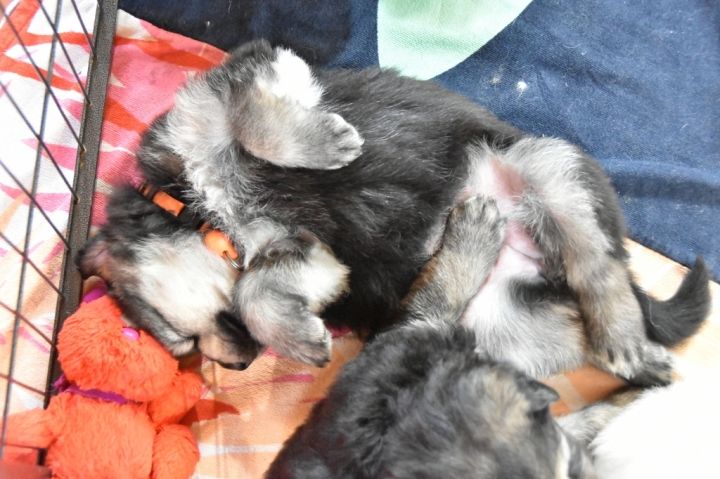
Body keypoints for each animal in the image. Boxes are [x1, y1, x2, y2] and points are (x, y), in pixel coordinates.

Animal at [80, 40, 710, 383]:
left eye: (180, 340)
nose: (239, 366)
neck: (198, 207)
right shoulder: (313, 258)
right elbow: (260, 289)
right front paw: (299, 334)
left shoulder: (244, 75)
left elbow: (258, 122)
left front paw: (327, 144)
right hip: (502, 324)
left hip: (548, 167)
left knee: (598, 267)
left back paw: (625, 337)